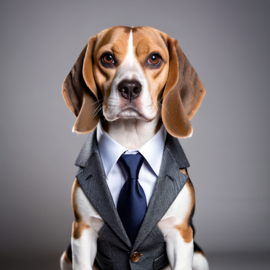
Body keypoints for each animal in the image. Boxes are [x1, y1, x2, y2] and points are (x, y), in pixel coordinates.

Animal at [60, 25, 209, 270]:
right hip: (66, 256)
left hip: (199, 258)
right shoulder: (82, 231)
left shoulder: (180, 233)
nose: (129, 87)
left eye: (154, 59)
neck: (131, 145)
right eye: (108, 58)